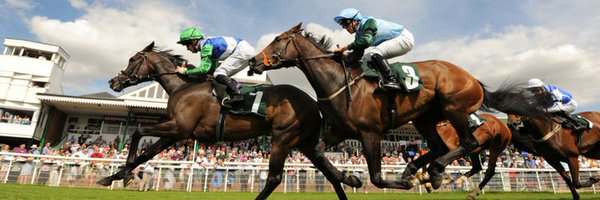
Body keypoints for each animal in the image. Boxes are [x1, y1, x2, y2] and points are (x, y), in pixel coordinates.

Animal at [98, 41, 360, 199]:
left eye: (133, 59)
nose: (113, 81)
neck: (183, 87)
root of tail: (314, 103)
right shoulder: (176, 134)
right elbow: (146, 153)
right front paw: (115, 176)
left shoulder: (179, 128)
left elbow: (137, 132)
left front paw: (123, 174)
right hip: (304, 141)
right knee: (329, 172)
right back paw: (350, 178)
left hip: (283, 138)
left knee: (275, 178)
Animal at [248, 22, 544, 190]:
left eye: (277, 39)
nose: (253, 61)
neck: (339, 82)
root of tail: (475, 80)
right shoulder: (340, 132)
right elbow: (320, 153)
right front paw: (350, 178)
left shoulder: (370, 134)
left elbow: (377, 178)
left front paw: (401, 181)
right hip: (426, 119)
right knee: (440, 147)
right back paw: (419, 171)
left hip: (455, 109)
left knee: (467, 144)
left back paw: (433, 172)